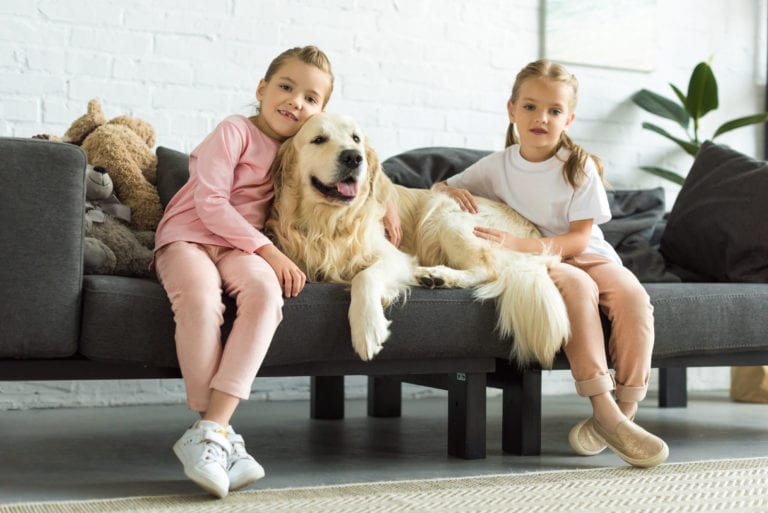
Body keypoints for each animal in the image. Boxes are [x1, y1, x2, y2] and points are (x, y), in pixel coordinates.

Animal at [268, 114, 568, 366]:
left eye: (356, 139)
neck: (329, 223)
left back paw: (439, 276)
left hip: (445, 214)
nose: (354, 158)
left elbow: (364, 276)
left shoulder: (397, 257)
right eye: (319, 139)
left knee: (487, 269)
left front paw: (368, 328)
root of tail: (534, 233)